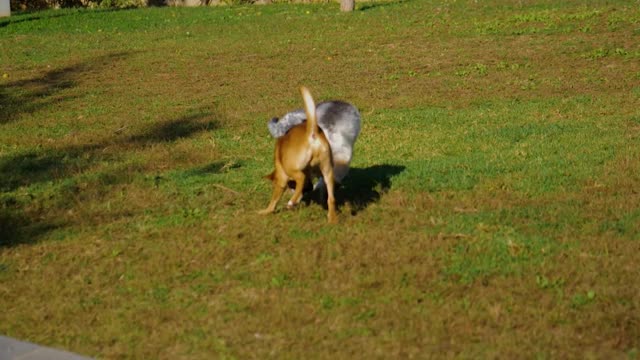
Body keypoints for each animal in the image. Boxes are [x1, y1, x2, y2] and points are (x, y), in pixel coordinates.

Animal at [260, 86, 340, 224]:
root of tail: (311, 132)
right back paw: (332, 219)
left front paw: (266, 211)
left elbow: (274, 200)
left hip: (291, 169)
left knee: (301, 178)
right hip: (327, 171)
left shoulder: (281, 179)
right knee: (331, 198)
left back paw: (291, 202)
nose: (308, 188)